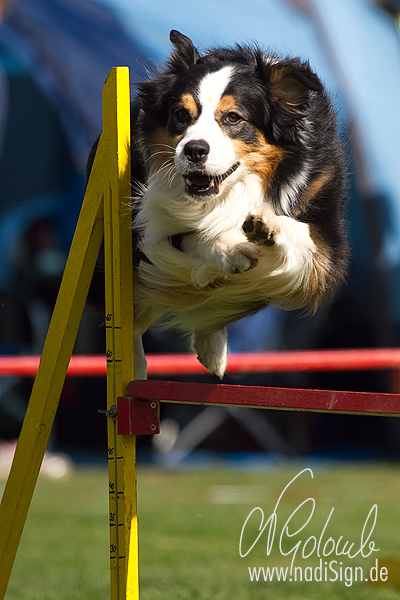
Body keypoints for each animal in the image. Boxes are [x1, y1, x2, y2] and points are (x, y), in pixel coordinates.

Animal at [92, 30, 348, 378]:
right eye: (181, 114)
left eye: (233, 118)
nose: (194, 150)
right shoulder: (147, 226)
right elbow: (191, 235)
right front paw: (229, 249)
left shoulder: (324, 252)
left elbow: (302, 238)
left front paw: (267, 226)